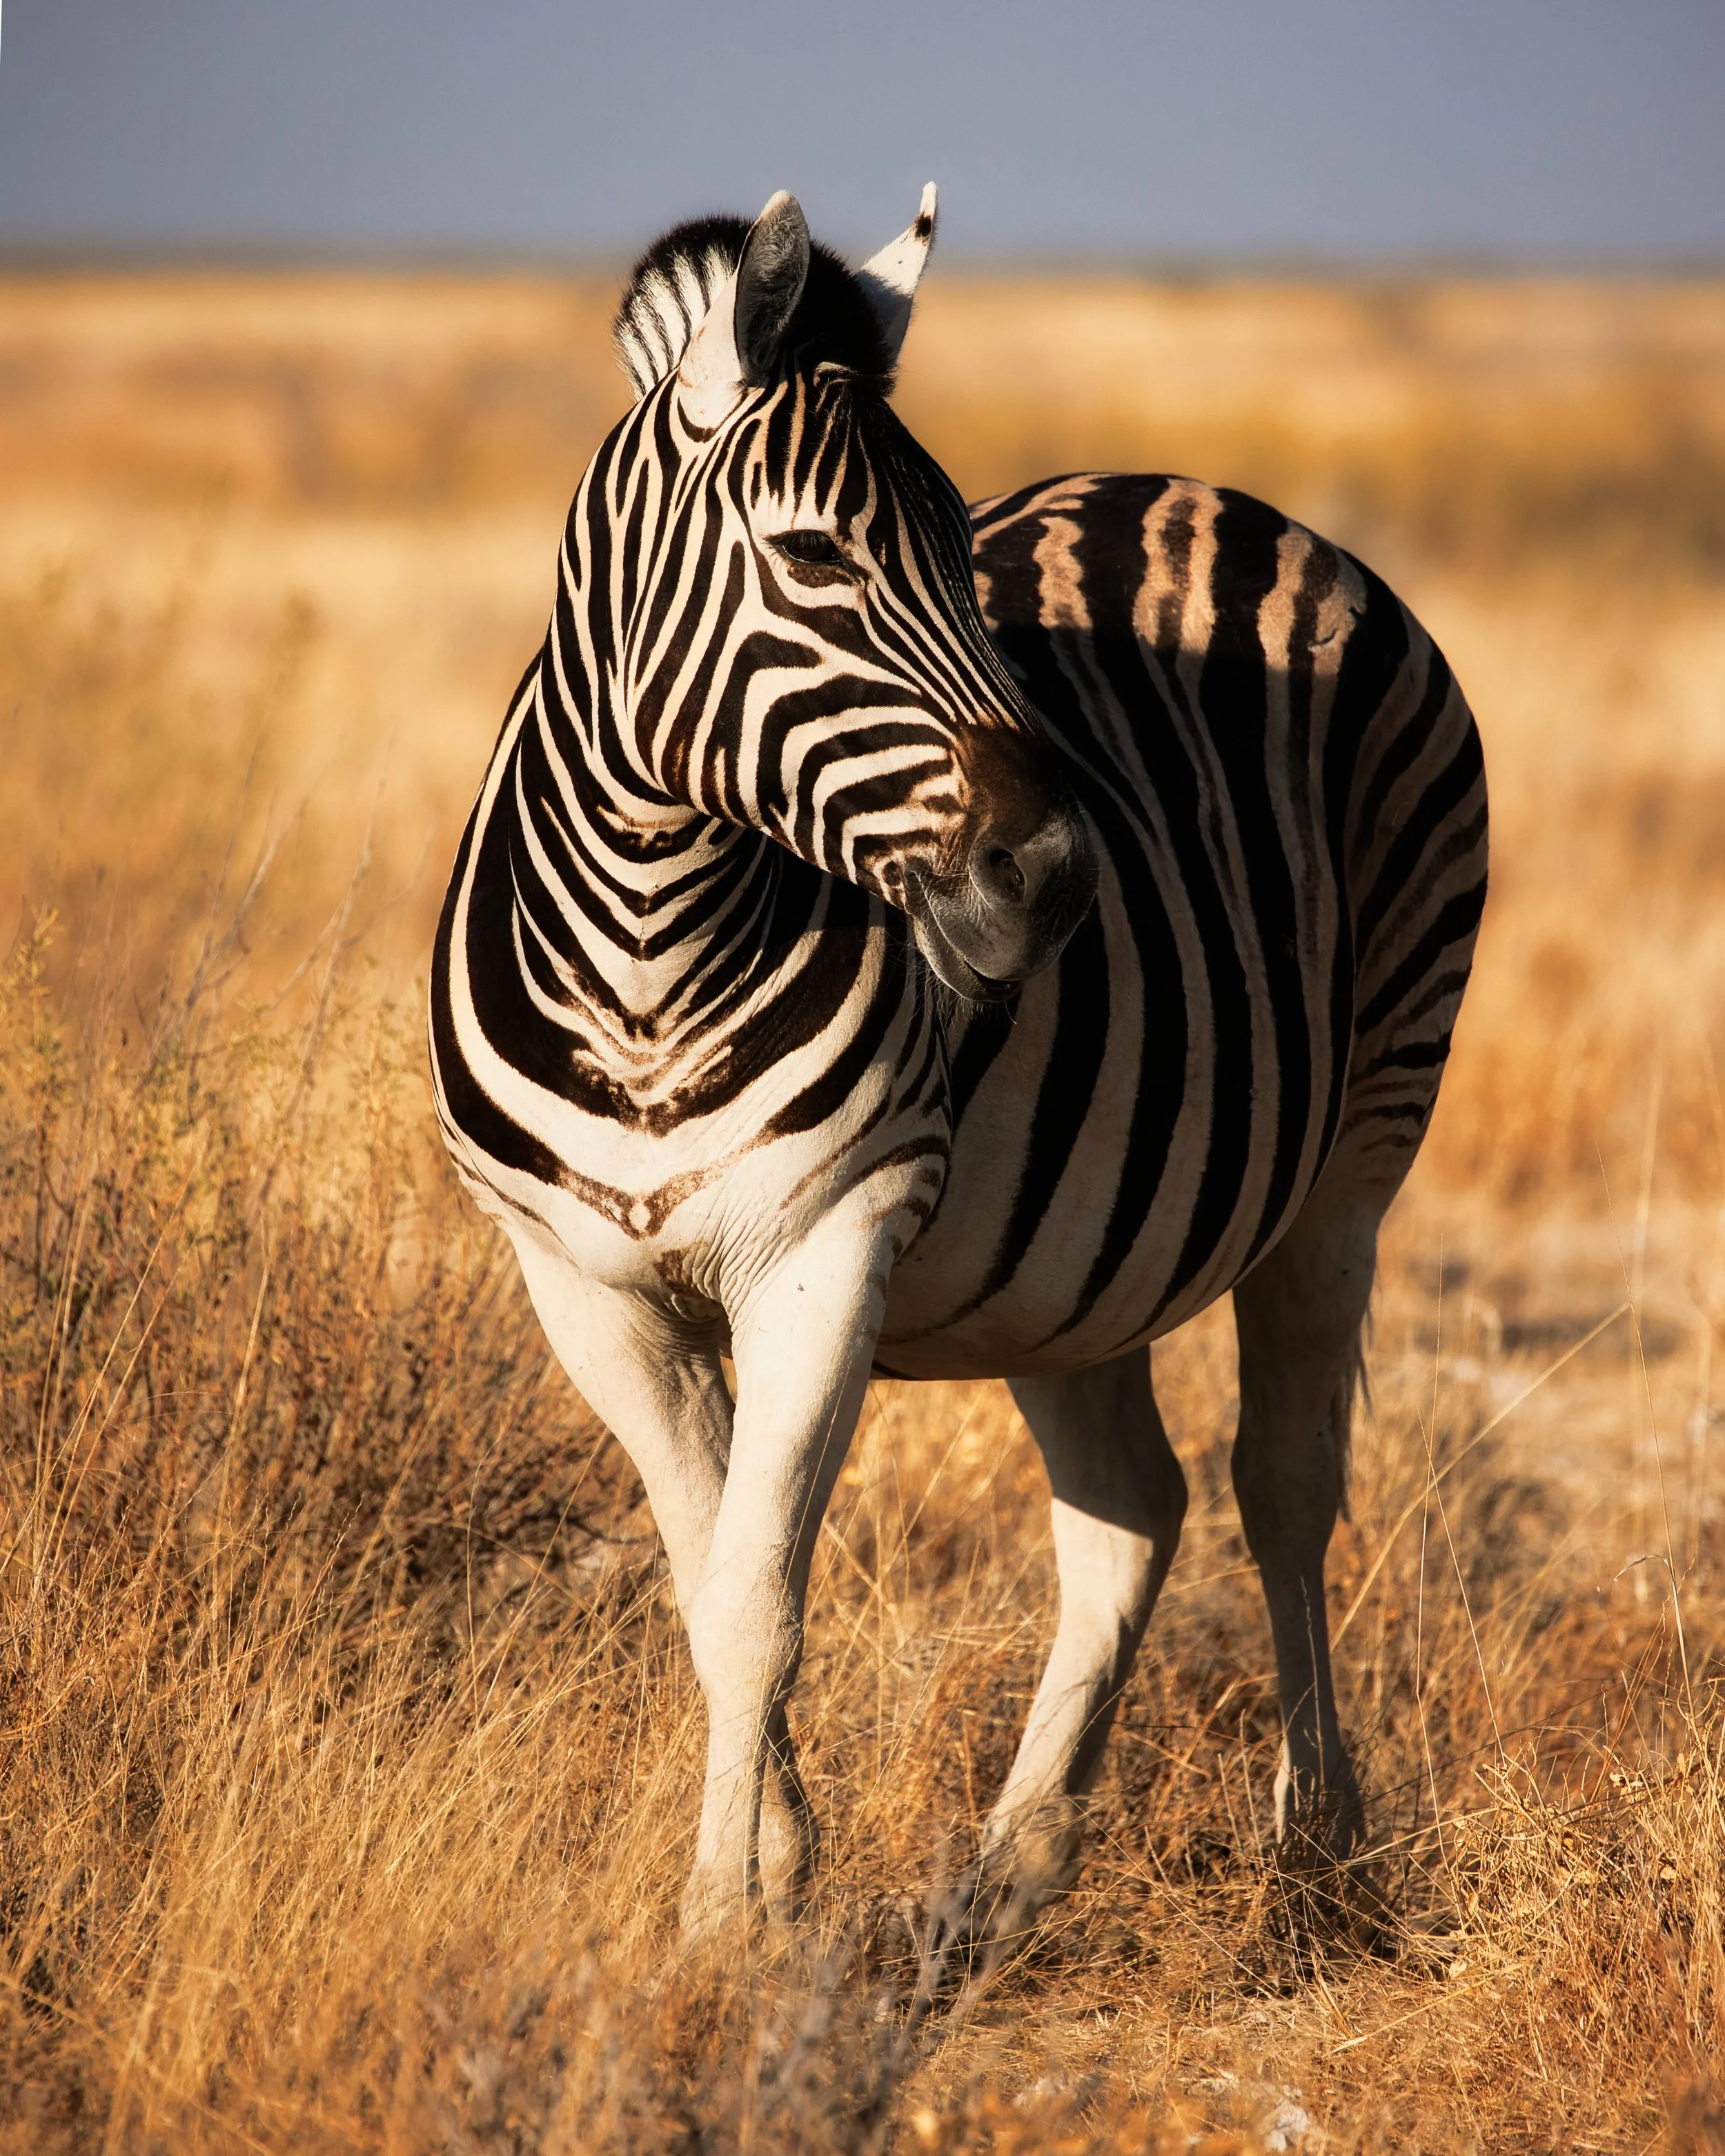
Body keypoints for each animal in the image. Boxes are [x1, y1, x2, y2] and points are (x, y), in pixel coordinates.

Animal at [429, 186, 1487, 1958]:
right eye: (811, 555)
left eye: (959, 566)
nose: (1055, 877)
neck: (648, 944)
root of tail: (1213, 496)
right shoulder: (580, 1282)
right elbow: (709, 1577)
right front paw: (775, 1867)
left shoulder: (826, 1238)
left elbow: (758, 1593)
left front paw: (720, 1919)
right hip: (1073, 1261)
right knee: (1132, 1509)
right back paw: (1014, 1867)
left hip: (1362, 1146)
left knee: (1282, 1484)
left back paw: (1314, 1850)